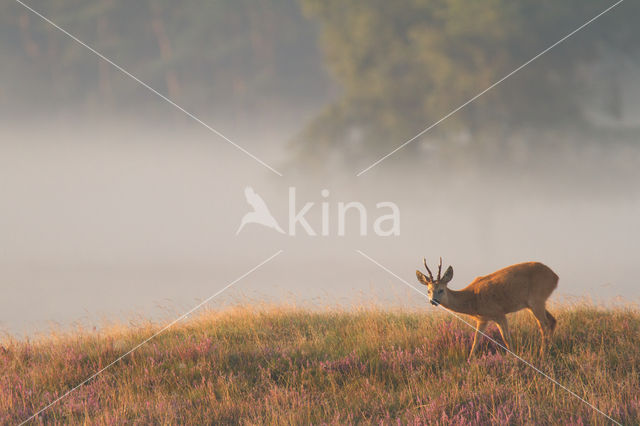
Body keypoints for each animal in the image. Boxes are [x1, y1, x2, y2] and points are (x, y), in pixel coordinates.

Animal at [418, 258, 556, 358]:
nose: (433, 301)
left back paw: (542, 353)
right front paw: (470, 360)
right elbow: (476, 340)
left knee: (544, 324)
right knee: (552, 321)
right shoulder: (483, 319)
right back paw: (549, 349)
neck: (472, 298)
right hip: (534, 304)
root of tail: (555, 277)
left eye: (441, 290)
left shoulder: (499, 313)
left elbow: (506, 339)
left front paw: (514, 358)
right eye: (428, 290)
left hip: (536, 300)